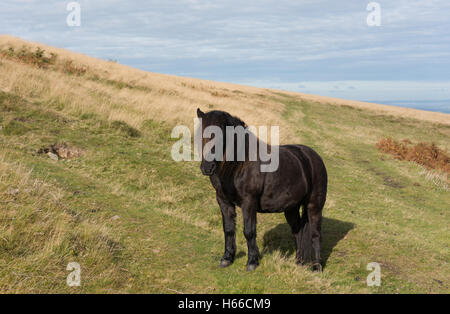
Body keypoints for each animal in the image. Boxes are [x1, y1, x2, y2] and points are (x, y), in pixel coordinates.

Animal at [197, 109, 326, 272]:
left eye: (222, 136)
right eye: (200, 134)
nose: (207, 167)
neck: (239, 164)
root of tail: (312, 157)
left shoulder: (248, 202)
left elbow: (249, 231)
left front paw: (252, 261)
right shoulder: (223, 201)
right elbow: (228, 229)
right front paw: (227, 258)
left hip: (314, 205)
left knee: (316, 234)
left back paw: (317, 267)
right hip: (291, 207)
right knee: (298, 231)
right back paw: (299, 262)